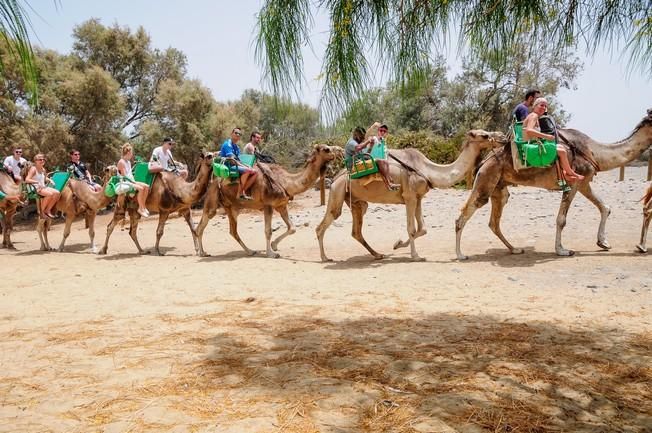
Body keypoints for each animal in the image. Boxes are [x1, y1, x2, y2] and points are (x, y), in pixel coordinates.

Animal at [195, 143, 338, 256]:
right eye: (326, 149)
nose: (336, 153)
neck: (286, 182)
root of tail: (214, 182)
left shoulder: (281, 205)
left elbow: (292, 228)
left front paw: (274, 246)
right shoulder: (267, 205)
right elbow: (268, 231)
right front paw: (271, 253)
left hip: (233, 207)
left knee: (232, 231)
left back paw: (249, 251)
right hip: (213, 201)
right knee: (203, 226)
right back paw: (202, 252)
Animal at [316, 130, 504, 262]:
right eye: (484, 135)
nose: (502, 137)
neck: (427, 169)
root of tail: (336, 178)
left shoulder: (418, 198)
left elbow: (423, 228)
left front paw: (398, 244)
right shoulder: (409, 197)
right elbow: (412, 228)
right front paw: (415, 256)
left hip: (357, 202)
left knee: (356, 231)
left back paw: (378, 255)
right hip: (338, 192)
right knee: (324, 224)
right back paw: (325, 258)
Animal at [454, 108, 652, 260]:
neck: (595, 152)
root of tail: (484, 161)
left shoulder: (584, 182)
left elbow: (605, 207)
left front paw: (603, 242)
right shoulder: (573, 183)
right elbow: (561, 219)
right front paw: (562, 250)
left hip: (499, 188)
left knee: (494, 221)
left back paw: (515, 249)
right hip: (485, 180)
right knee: (464, 214)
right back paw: (460, 255)